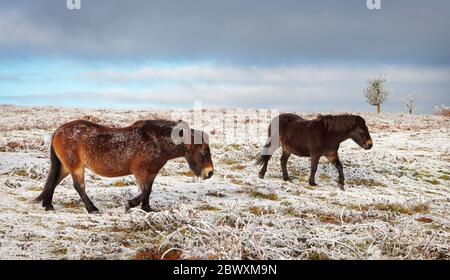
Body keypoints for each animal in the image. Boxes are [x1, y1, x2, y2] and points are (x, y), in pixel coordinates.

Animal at [34, 119, 214, 213]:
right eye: (204, 151)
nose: (210, 173)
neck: (156, 141)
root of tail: (58, 130)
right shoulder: (140, 171)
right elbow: (145, 191)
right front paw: (130, 205)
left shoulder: (152, 172)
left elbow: (148, 190)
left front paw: (147, 209)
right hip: (76, 167)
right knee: (79, 187)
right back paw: (92, 208)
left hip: (65, 166)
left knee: (53, 182)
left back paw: (48, 205)